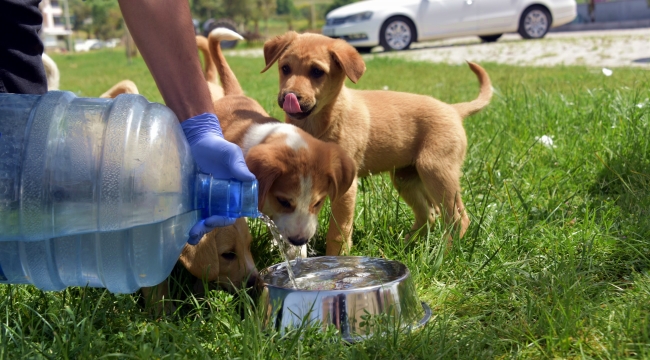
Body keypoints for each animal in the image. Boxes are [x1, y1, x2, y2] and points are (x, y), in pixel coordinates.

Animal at [260, 31, 492, 256]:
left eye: (317, 72)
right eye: (285, 68)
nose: (289, 96)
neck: (324, 119)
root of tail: (454, 109)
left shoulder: (346, 188)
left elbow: (338, 231)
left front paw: (337, 258)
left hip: (437, 171)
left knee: (458, 218)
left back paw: (443, 254)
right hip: (406, 178)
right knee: (430, 214)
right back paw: (406, 246)